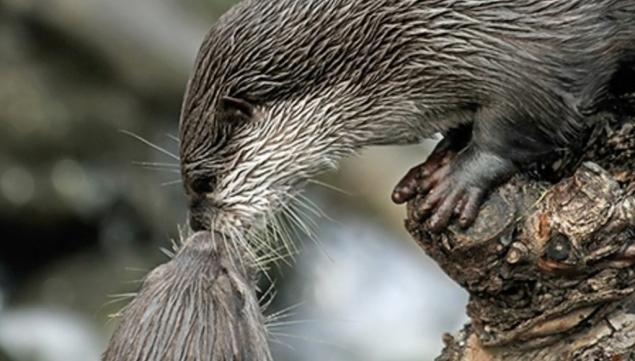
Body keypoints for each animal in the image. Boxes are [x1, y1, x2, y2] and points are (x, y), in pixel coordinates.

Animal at [180, 0, 635, 233]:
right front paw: (431, 165)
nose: (198, 224)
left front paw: (456, 182)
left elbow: (525, 118)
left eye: (204, 183)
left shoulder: (538, 44)